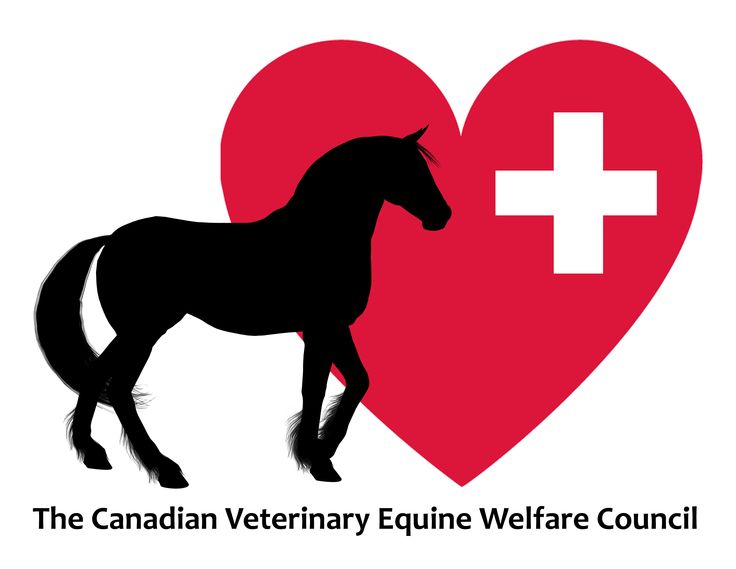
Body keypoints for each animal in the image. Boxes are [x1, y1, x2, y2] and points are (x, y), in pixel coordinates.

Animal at [35, 126, 451, 488]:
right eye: (407, 168)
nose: (442, 215)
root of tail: (110, 239)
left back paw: (95, 454)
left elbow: (352, 382)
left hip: (135, 331)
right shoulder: (324, 326)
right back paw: (164, 469)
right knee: (118, 386)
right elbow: (318, 388)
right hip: (144, 331)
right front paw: (318, 459)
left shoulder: (330, 328)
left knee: (99, 377)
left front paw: (321, 452)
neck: (320, 235)